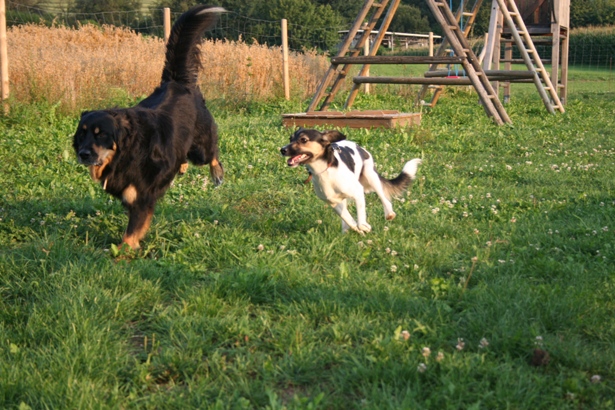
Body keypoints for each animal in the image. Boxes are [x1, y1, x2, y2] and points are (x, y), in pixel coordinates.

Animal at [73, 5, 225, 250]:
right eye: (82, 134)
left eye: (101, 134)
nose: (83, 154)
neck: (126, 151)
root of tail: (176, 81)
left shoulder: (142, 197)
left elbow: (131, 232)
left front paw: (123, 252)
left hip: (200, 148)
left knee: (212, 155)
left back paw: (216, 173)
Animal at [280, 130, 422, 234]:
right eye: (290, 138)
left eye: (303, 140)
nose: (282, 149)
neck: (324, 171)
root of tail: (358, 146)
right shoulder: (333, 202)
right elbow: (348, 219)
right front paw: (356, 229)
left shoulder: (358, 192)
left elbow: (360, 218)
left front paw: (363, 226)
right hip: (343, 197)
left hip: (371, 175)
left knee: (384, 198)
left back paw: (389, 213)